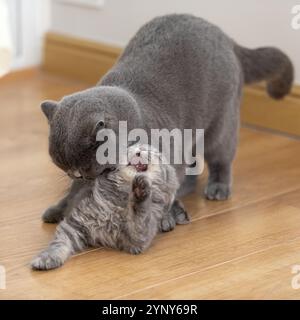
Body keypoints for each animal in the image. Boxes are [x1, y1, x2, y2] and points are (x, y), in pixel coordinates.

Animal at [31, 146, 190, 270]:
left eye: (150, 151)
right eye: (133, 149)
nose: (138, 151)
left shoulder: (138, 237)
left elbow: (140, 212)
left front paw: (141, 189)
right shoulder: (76, 222)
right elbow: (59, 243)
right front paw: (47, 258)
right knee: (66, 200)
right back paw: (51, 214)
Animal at [39, 14, 292, 225]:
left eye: (82, 169)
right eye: (71, 171)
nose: (82, 176)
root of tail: (227, 38)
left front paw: (164, 216)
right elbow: (74, 193)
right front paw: (60, 209)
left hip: (220, 124)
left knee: (220, 157)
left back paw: (217, 187)